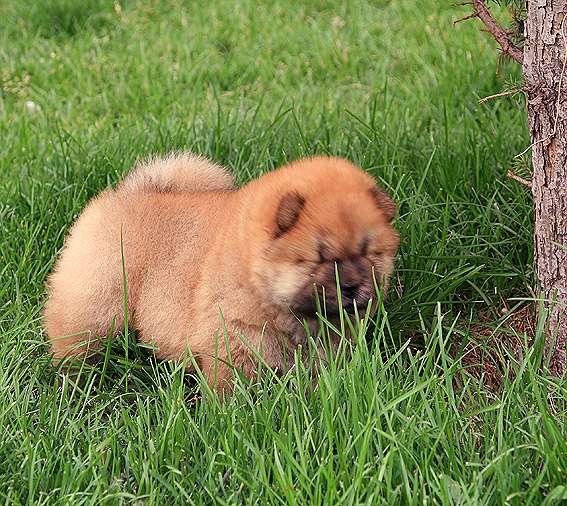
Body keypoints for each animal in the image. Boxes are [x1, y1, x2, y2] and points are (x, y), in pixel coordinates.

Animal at [43, 154, 400, 392]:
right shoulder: (232, 337)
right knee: (75, 336)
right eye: (321, 258)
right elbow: (230, 383)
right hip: (98, 298)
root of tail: (130, 193)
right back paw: (75, 379)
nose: (352, 285)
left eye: (369, 254)